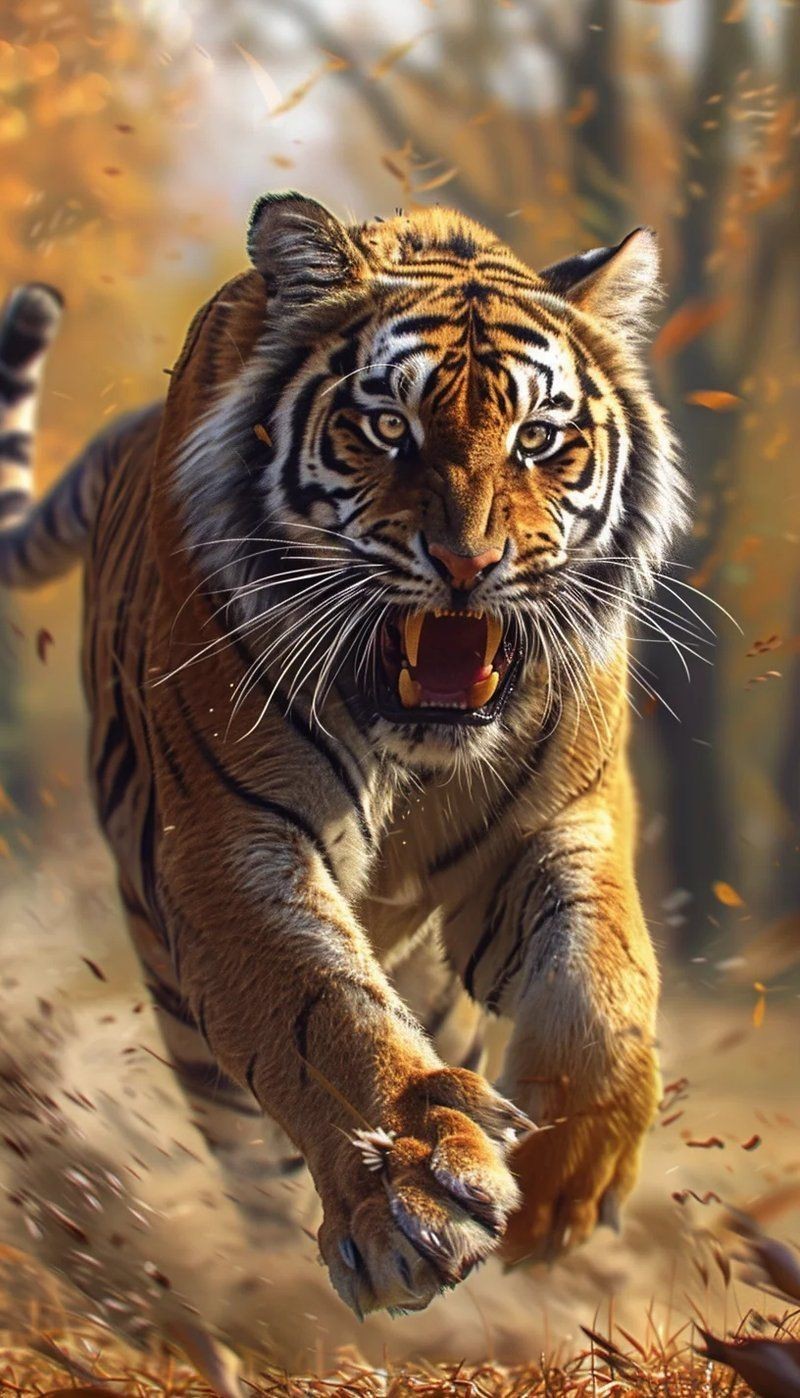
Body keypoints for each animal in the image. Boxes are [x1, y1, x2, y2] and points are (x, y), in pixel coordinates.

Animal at [0, 194, 687, 1319]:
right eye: (387, 428)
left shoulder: (562, 822)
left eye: (539, 439)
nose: (469, 563)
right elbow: (323, 1016)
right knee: (247, 1147)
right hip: (171, 974)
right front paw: (402, 1191)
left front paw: (561, 1186)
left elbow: (603, 984)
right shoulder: (233, 847)